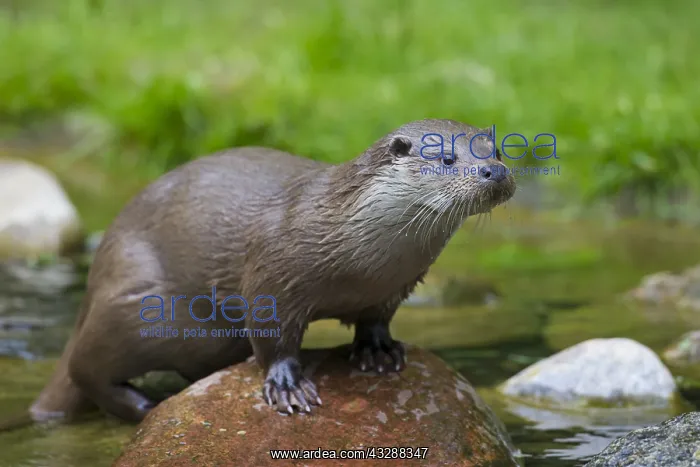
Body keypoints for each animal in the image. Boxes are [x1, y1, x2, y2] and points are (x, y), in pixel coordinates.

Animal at [29, 119, 515, 422]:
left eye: (496, 150)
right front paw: (287, 386)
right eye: (447, 159)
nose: (494, 172)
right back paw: (142, 405)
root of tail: (98, 269)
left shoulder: (395, 287)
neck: (365, 263)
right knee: (86, 364)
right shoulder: (272, 277)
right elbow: (273, 336)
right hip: (142, 304)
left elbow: (376, 319)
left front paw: (377, 350)